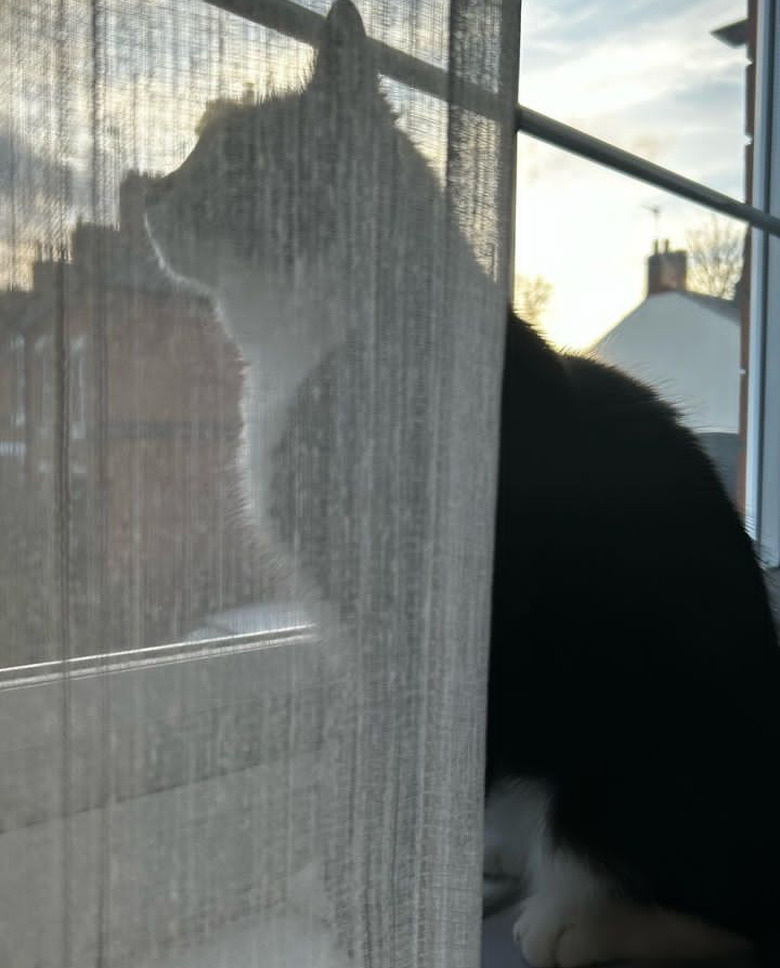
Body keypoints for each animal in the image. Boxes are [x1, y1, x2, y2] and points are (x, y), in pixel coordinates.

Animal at [145, 1, 780, 968]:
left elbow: (381, 770)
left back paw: (579, 920)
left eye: (227, 156)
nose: (143, 191)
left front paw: (371, 894)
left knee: (718, 910)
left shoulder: (410, 626)